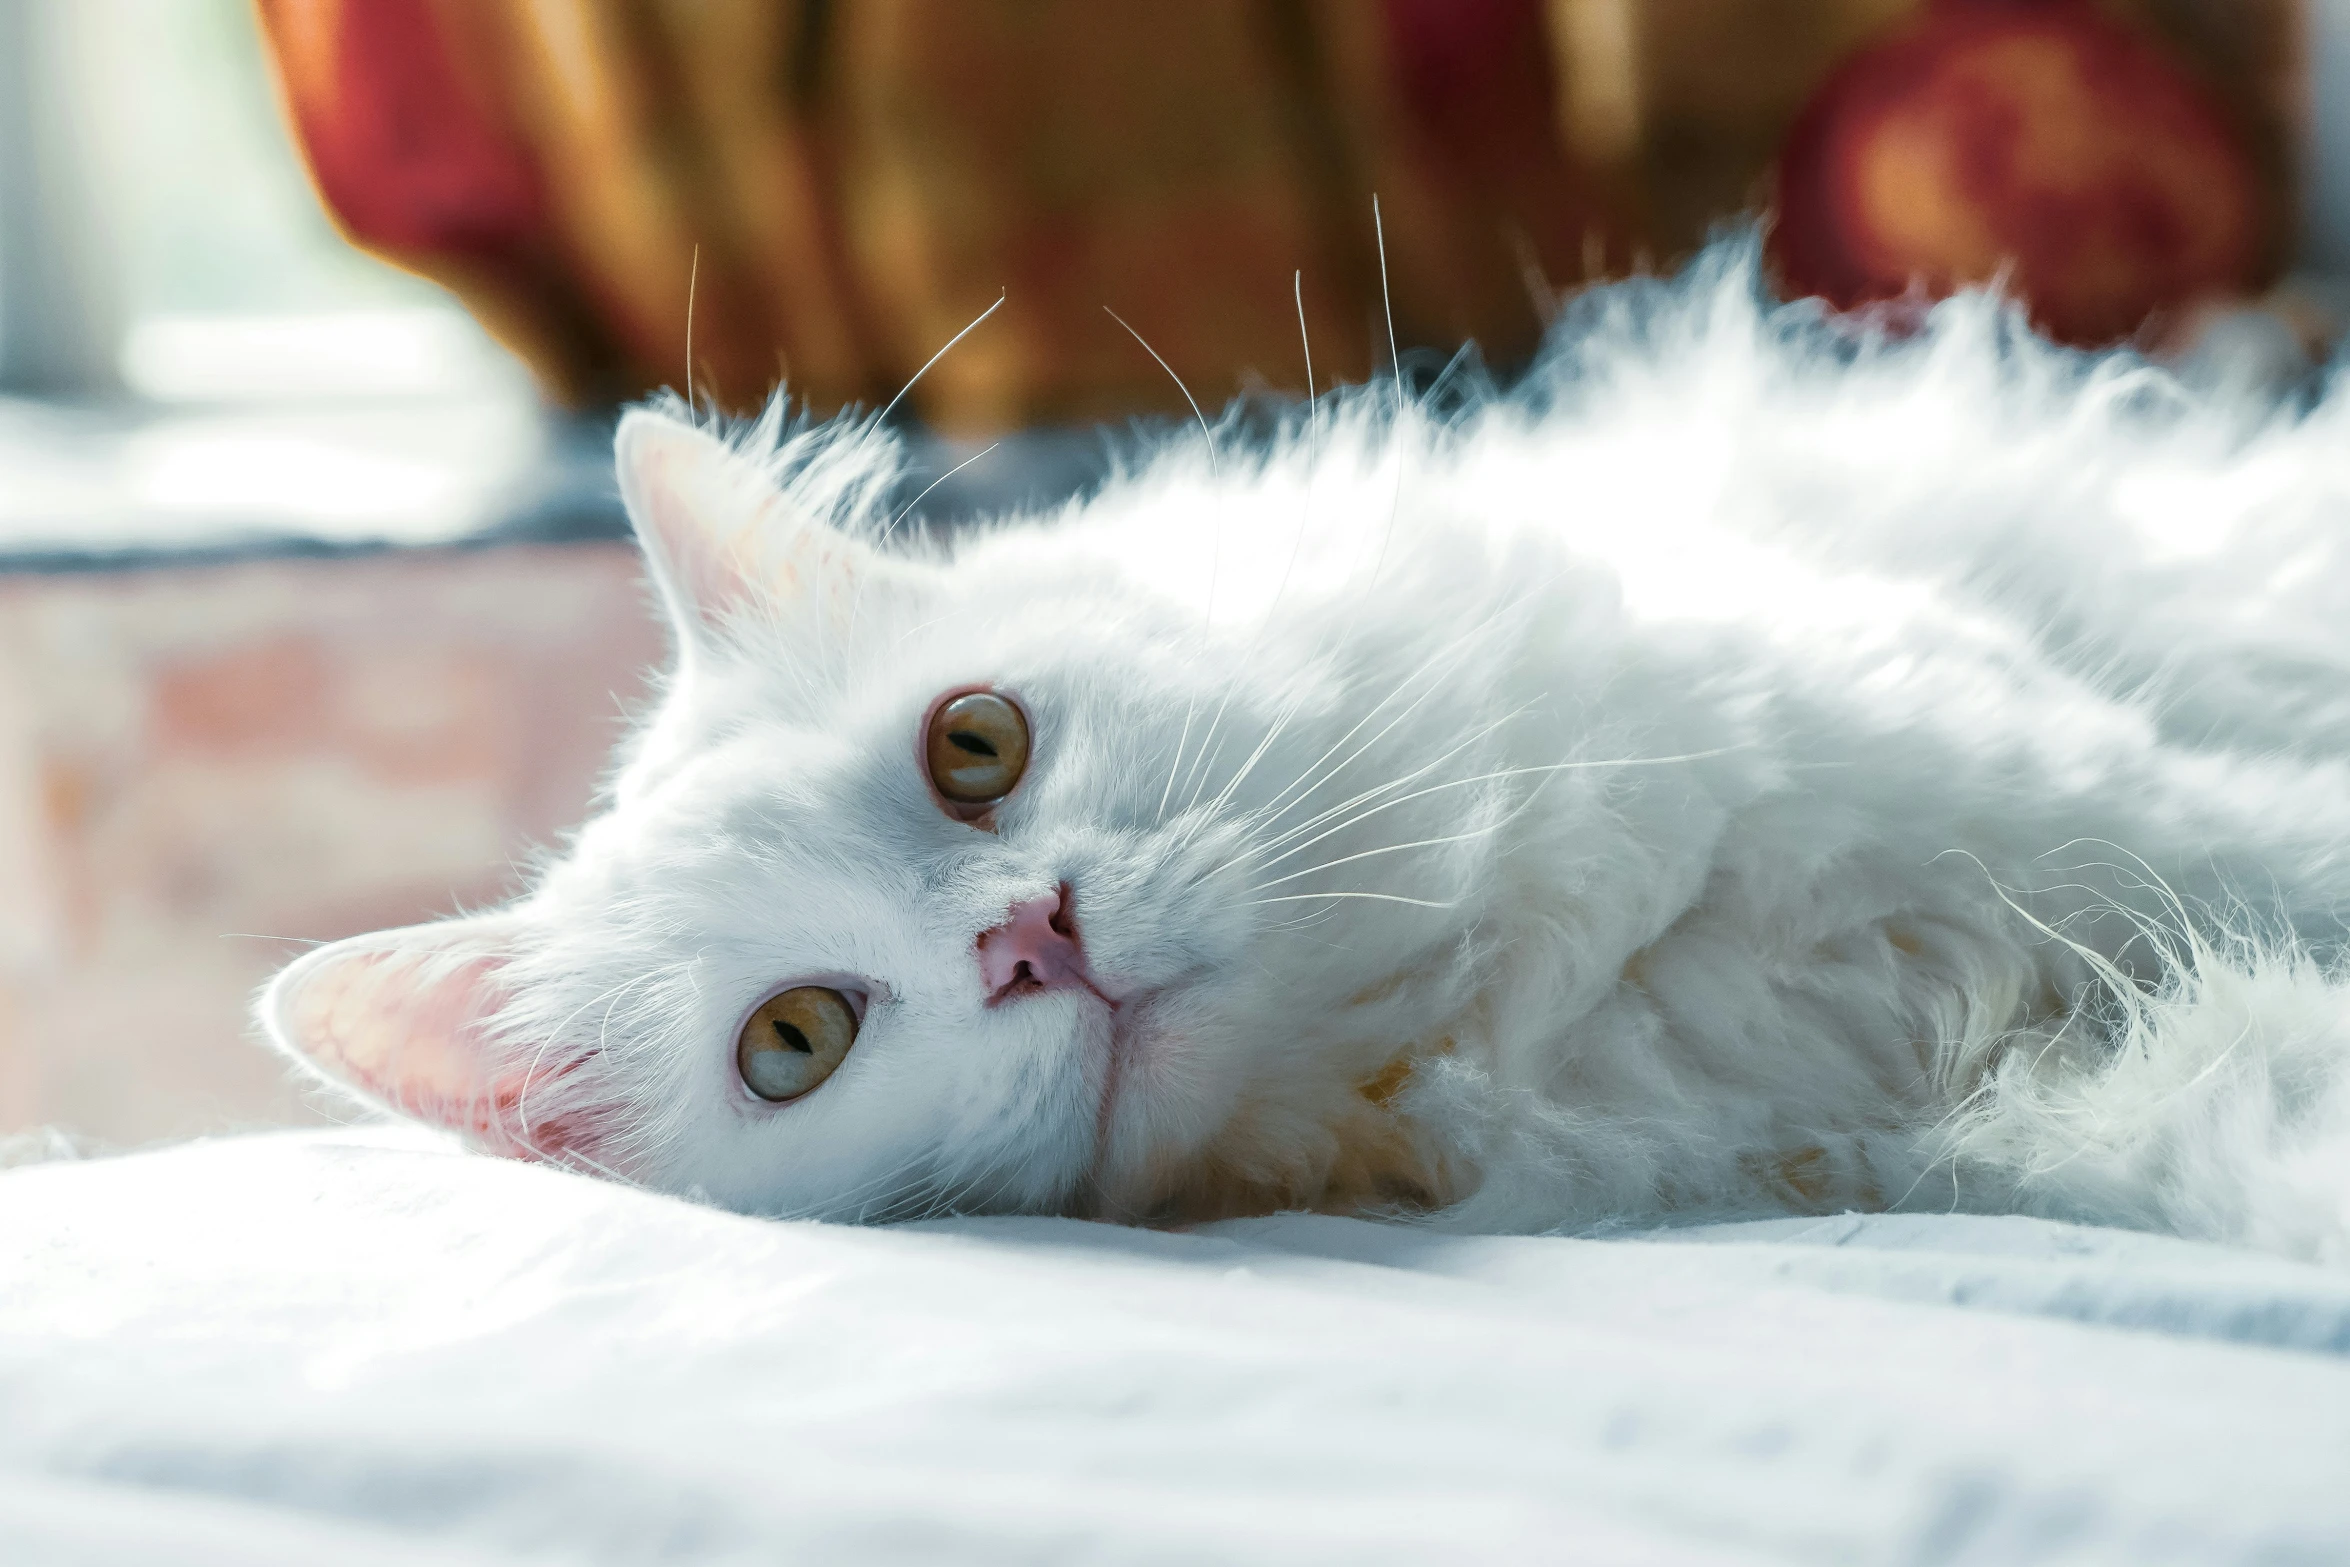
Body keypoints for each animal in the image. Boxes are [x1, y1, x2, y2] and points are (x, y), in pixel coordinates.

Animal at [262, 241, 2350, 1249]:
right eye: (795, 1042)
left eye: (974, 746)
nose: (1029, 939)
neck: (1479, 1010)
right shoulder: (1959, 1127)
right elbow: (2228, 1108)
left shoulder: (2072, 783)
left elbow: (2273, 841)